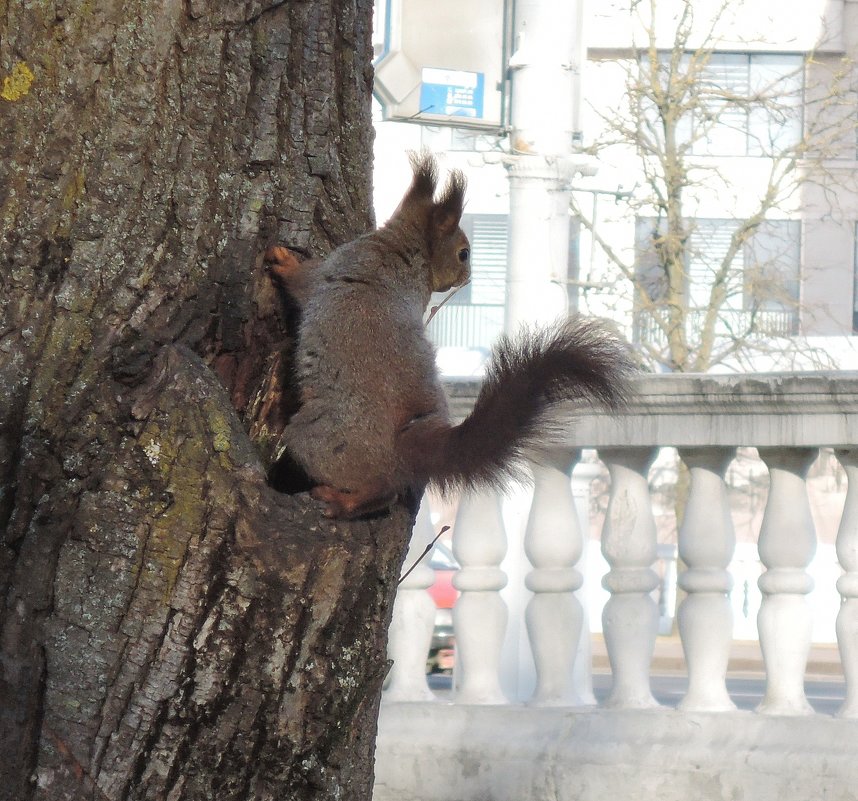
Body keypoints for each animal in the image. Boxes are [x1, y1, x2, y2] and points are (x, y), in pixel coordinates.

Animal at [268, 152, 636, 520]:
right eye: (464, 253)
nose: (466, 277)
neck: (400, 248)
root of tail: (404, 446)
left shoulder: (333, 271)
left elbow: (302, 281)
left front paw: (282, 260)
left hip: (317, 439)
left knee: (380, 488)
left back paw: (341, 501)